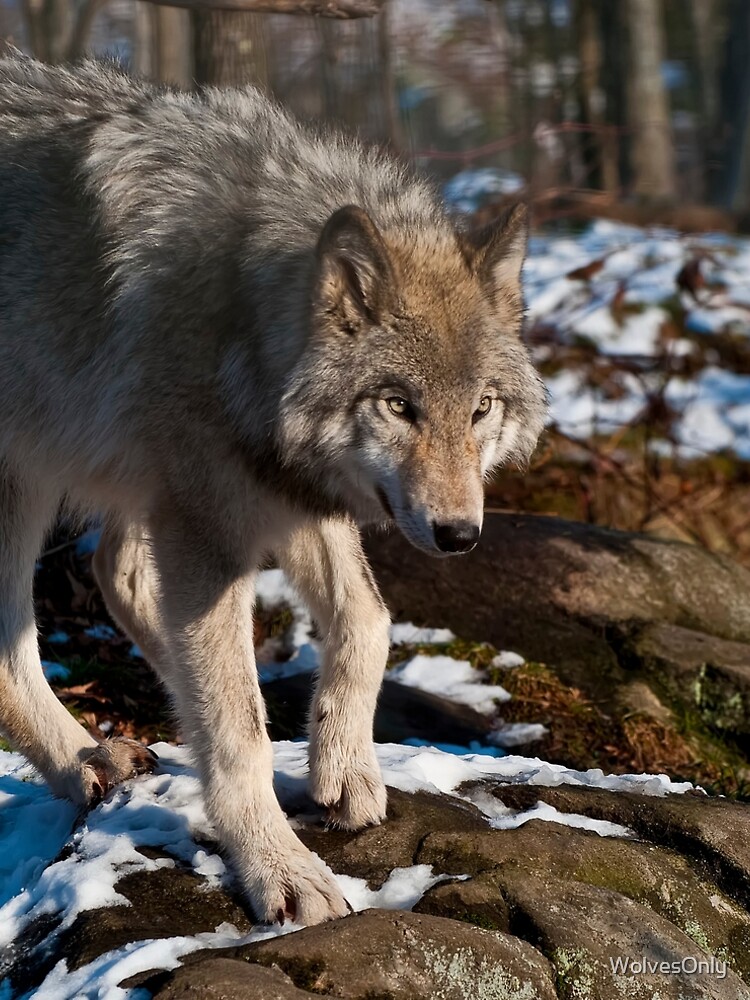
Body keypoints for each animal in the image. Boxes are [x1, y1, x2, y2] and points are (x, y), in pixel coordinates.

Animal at [0, 54, 546, 925]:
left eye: (481, 408)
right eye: (400, 405)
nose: (461, 534)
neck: (238, 317)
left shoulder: (287, 493)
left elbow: (367, 622)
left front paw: (342, 765)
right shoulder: (208, 522)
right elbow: (237, 728)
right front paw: (278, 867)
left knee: (118, 575)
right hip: (29, 467)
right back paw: (83, 760)